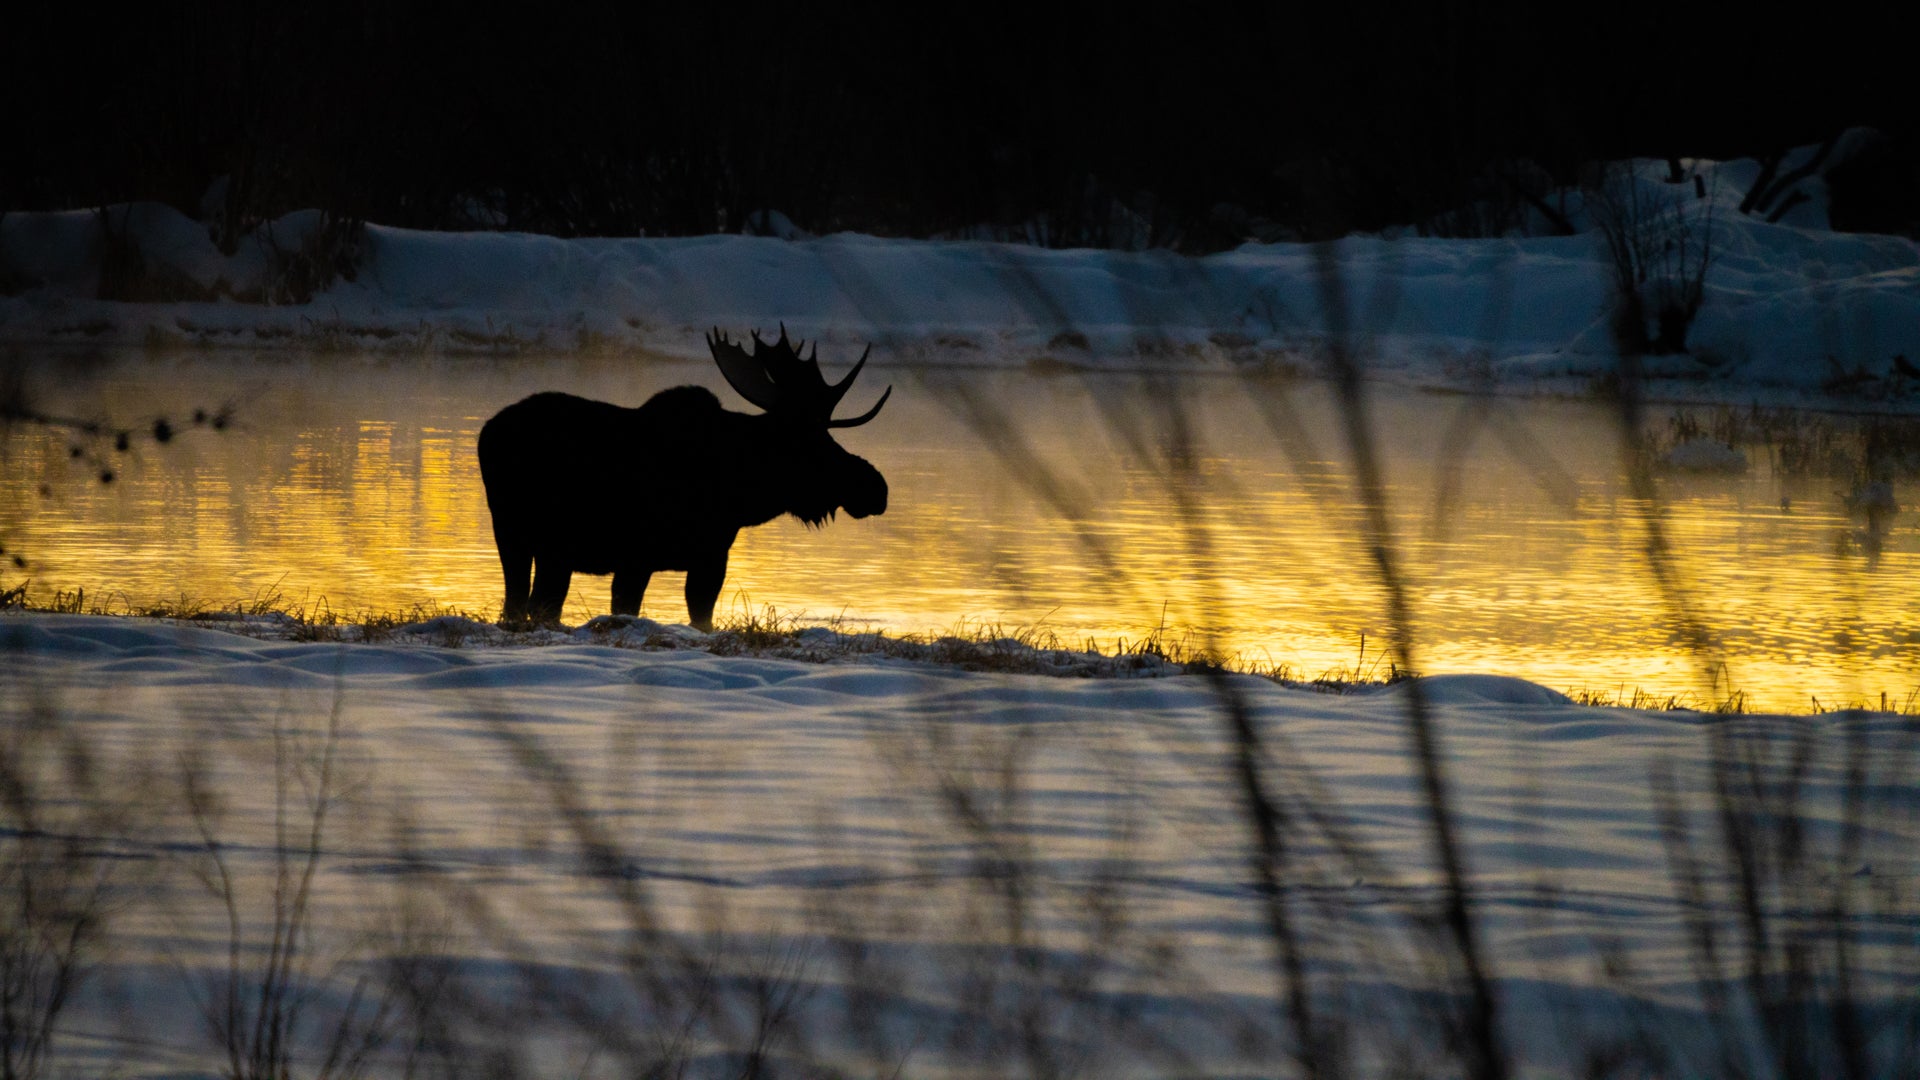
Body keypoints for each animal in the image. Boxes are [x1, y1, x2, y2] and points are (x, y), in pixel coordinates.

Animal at [477, 327, 890, 630]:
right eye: (814, 443)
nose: (876, 487)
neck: (741, 491)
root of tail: (487, 432)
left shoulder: (706, 555)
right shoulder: (645, 556)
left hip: (535, 544)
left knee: (525, 602)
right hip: (523, 535)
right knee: (528, 602)